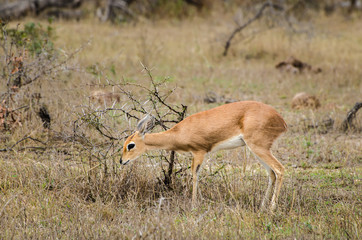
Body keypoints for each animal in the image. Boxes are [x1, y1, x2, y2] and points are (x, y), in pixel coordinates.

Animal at [120, 100, 288, 211]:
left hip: (259, 147)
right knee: (272, 174)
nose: (122, 161)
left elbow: (195, 175)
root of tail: (281, 120)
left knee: (280, 170)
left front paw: (194, 204)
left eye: (130, 145)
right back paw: (262, 206)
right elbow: (197, 174)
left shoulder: (199, 152)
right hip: (256, 150)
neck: (179, 132)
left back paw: (272, 208)